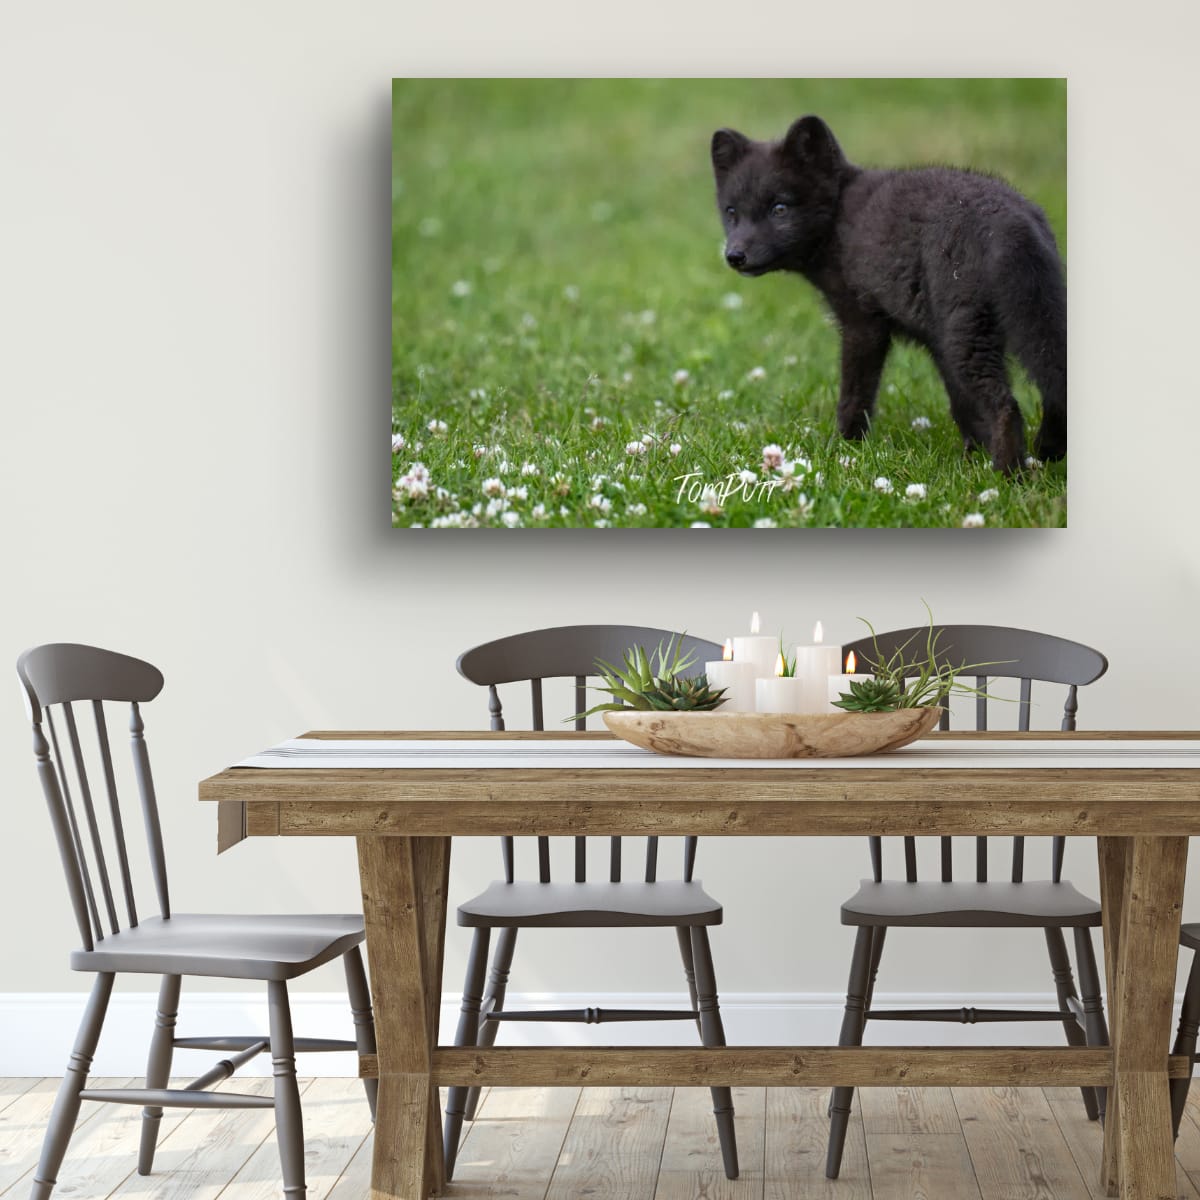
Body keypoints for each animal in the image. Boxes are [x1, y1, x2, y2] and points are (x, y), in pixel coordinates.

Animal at [711, 115, 1066, 473]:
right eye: (731, 212)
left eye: (779, 208)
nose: (734, 255)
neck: (840, 219)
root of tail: (1010, 222)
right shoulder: (936, 340)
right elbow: (962, 406)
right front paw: (972, 455)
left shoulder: (863, 324)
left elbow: (855, 394)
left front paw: (845, 446)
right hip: (1037, 312)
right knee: (1055, 384)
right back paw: (1046, 452)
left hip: (968, 335)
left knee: (1007, 405)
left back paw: (1008, 474)